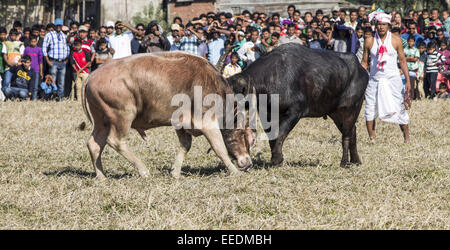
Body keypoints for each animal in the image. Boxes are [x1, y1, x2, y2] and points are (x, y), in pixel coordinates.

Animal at [82, 51, 255, 179]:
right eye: (247, 137)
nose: (248, 163)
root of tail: (92, 76)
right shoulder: (207, 123)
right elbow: (220, 149)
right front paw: (234, 171)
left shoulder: (181, 124)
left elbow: (185, 145)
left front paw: (175, 172)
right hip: (122, 117)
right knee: (115, 141)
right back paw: (143, 171)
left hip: (102, 121)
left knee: (94, 144)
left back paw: (101, 176)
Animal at [225, 44, 370, 167]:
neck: (273, 76)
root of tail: (362, 70)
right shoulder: (268, 114)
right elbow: (272, 137)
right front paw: (277, 159)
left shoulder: (295, 112)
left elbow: (280, 133)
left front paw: (277, 159)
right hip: (335, 113)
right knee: (352, 131)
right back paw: (356, 161)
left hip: (351, 109)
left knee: (346, 135)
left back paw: (344, 162)